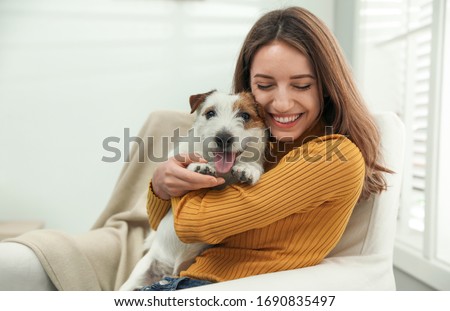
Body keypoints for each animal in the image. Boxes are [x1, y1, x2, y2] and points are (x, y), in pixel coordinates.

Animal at [119, 91, 268, 292]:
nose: (223, 138)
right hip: (139, 275)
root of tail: (169, 270)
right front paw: (199, 166)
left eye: (245, 116)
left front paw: (247, 168)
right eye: (210, 113)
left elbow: (253, 165)